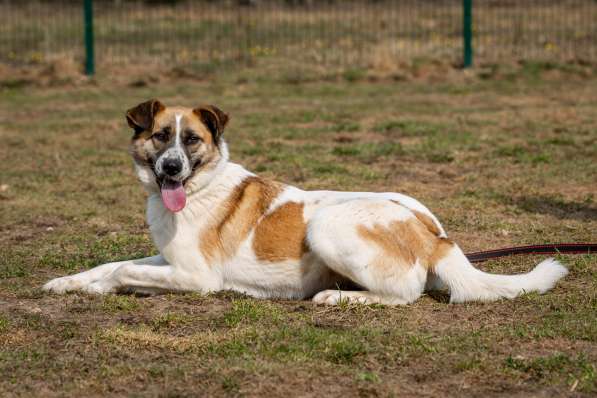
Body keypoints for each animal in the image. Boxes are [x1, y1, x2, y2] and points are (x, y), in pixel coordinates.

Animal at [43, 100, 568, 304]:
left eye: (191, 140)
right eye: (158, 137)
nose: (171, 168)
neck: (199, 187)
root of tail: (435, 237)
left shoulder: (197, 276)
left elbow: (121, 271)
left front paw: (97, 287)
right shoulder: (168, 259)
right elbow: (114, 263)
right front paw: (69, 283)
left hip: (327, 225)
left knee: (407, 293)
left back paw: (339, 296)